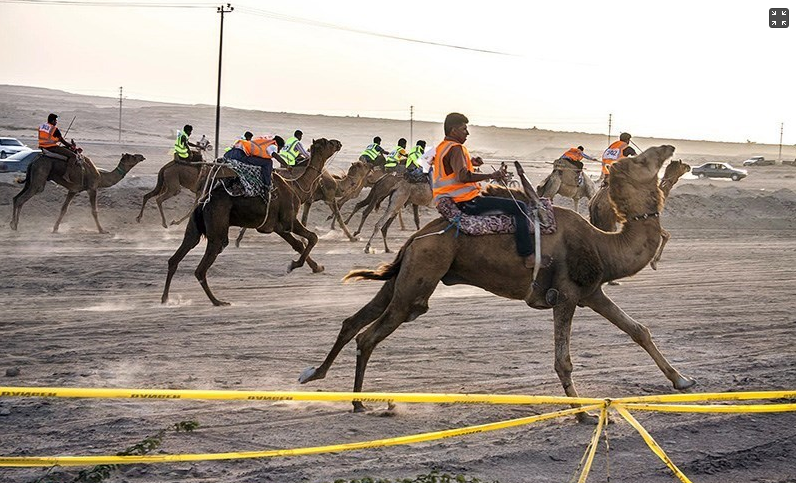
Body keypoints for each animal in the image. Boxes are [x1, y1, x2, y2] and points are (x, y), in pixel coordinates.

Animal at [11, 153, 146, 233]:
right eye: (133, 157)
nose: (142, 156)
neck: (101, 177)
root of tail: (33, 161)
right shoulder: (92, 188)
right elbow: (94, 211)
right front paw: (102, 230)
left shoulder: (73, 190)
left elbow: (64, 209)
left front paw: (55, 229)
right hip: (40, 178)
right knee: (22, 199)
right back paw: (15, 226)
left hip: (30, 180)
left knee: (15, 197)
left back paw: (12, 224)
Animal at [162, 138, 341, 306]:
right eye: (327, 143)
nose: (338, 143)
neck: (297, 188)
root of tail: (203, 202)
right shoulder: (289, 220)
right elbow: (312, 237)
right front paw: (294, 265)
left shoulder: (277, 227)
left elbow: (298, 244)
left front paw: (316, 267)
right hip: (217, 223)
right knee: (203, 266)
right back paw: (218, 301)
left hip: (194, 227)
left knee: (177, 256)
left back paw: (165, 299)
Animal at [299, 145, 696, 419]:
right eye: (644, 160)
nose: (671, 149)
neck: (602, 244)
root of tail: (415, 238)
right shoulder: (566, 295)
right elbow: (563, 360)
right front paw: (584, 414)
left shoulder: (592, 291)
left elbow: (638, 330)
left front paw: (683, 382)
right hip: (422, 274)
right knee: (370, 333)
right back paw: (357, 402)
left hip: (406, 274)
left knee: (354, 320)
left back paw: (316, 374)